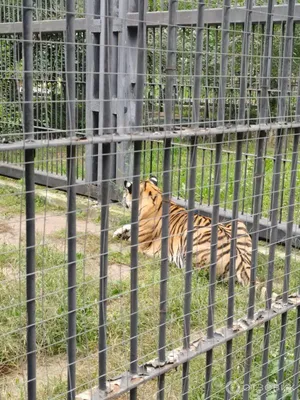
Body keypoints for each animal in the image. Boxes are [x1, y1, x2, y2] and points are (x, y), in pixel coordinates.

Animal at [113, 177, 276, 298]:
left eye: (124, 193)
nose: (121, 199)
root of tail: (242, 260)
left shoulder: (139, 243)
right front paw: (119, 232)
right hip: (238, 223)